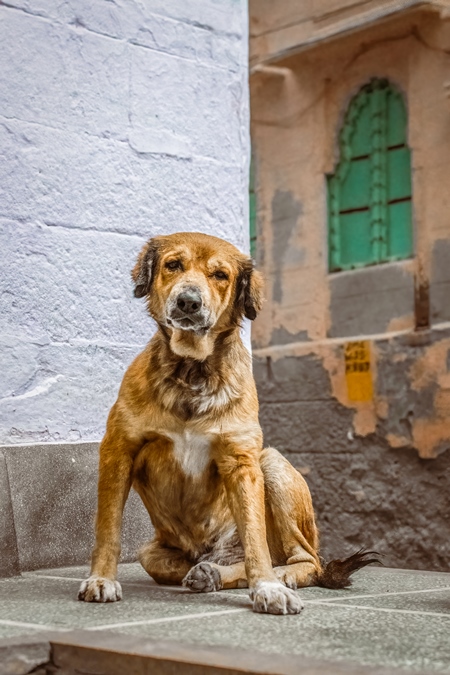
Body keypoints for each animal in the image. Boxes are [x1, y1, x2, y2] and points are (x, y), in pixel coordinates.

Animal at [78, 234, 380, 616]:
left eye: (220, 275)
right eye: (173, 265)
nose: (188, 301)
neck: (192, 371)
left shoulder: (242, 459)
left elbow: (254, 539)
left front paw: (268, 587)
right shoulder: (118, 449)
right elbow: (108, 528)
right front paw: (101, 579)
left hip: (272, 465)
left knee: (306, 560)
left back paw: (279, 576)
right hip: (152, 552)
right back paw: (210, 573)